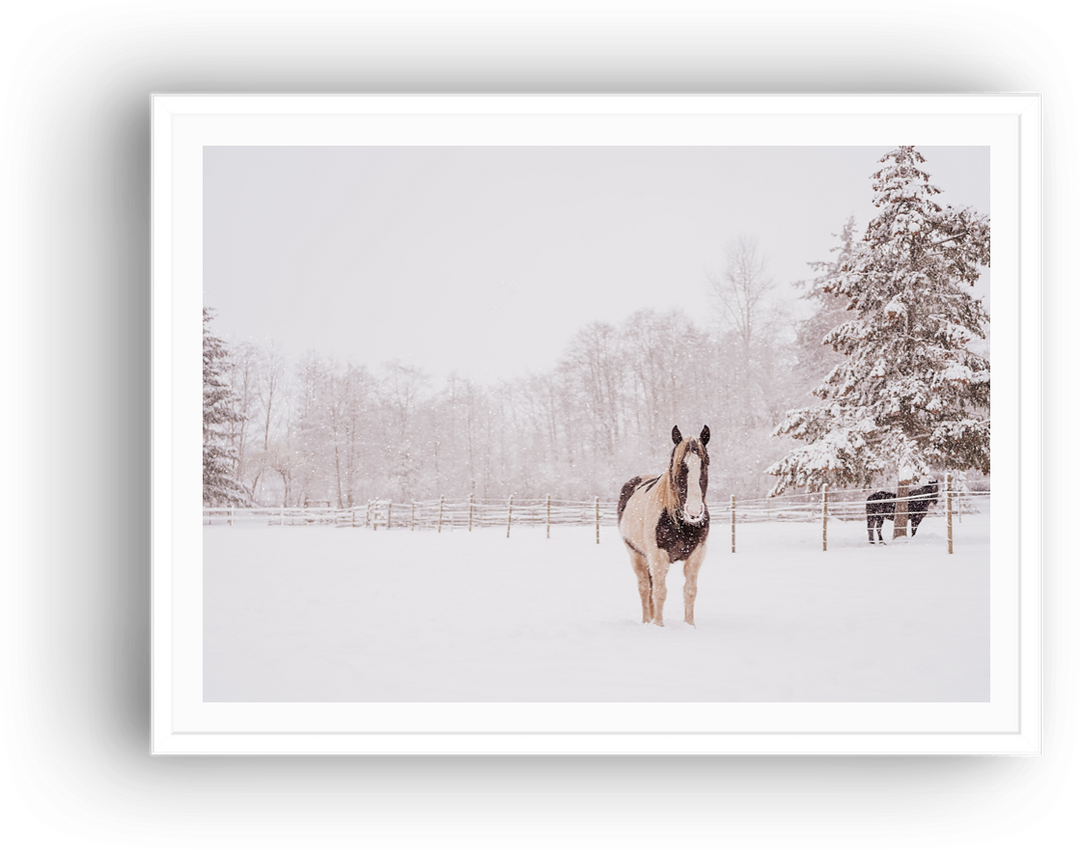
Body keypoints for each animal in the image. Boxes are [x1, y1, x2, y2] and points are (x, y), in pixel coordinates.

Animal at [617, 425, 708, 626]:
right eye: (680, 466)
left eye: (705, 464)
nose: (694, 512)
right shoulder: (658, 557)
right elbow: (659, 593)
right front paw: (659, 626)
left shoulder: (696, 556)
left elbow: (690, 591)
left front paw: (690, 626)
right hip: (636, 554)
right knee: (644, 588)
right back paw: (646, 621)